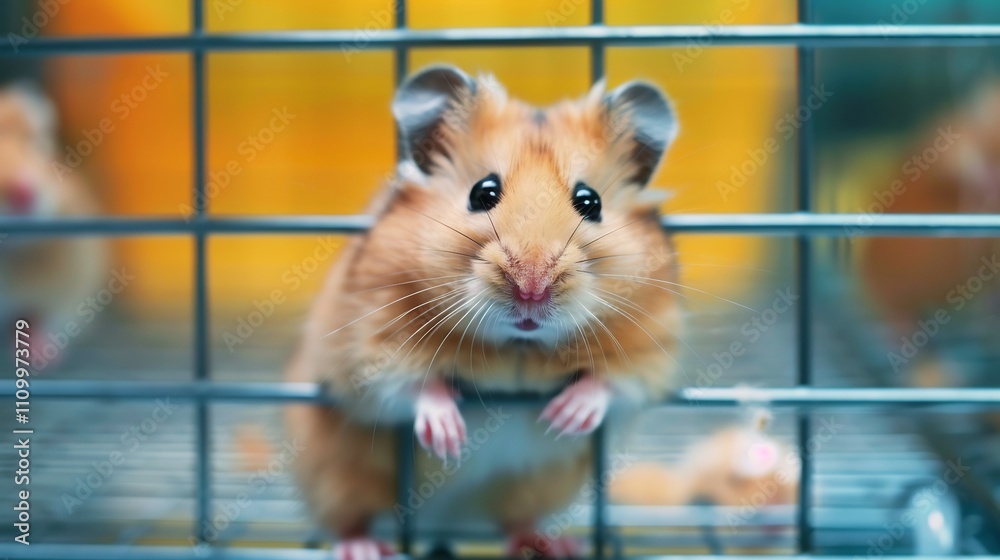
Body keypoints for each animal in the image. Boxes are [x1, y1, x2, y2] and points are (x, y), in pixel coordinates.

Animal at [285, 65, 683, 560]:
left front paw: (566, 417)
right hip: (335, 473)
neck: (519, 346)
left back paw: (554, 544)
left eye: (591, 201)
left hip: (532, 489)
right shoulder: (365, 345)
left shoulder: (652, 350)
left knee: (516, 521)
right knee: (348, 518)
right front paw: (447, 436)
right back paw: (364, 548)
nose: (532, 287)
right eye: (483, 193)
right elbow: (408, 384)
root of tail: (444, 525)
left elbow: (613, 383)